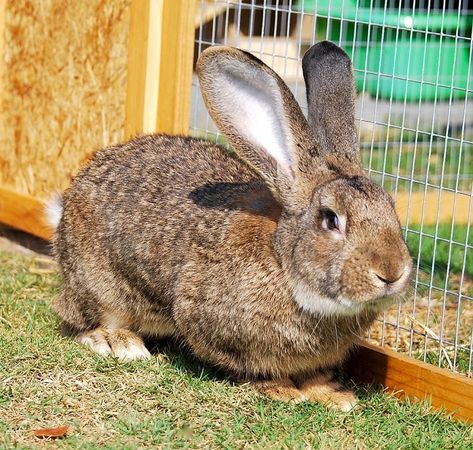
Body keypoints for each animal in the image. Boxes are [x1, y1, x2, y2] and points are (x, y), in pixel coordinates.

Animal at [46, 42, 412, 412]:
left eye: (391, 207)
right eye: (331, 219)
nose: (391, 272)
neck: (283, 264)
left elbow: (315, 375)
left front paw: (335, 397)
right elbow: (253, 368)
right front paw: (283, 391)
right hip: (99, 285)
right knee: (81, 319)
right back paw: (119, 343)